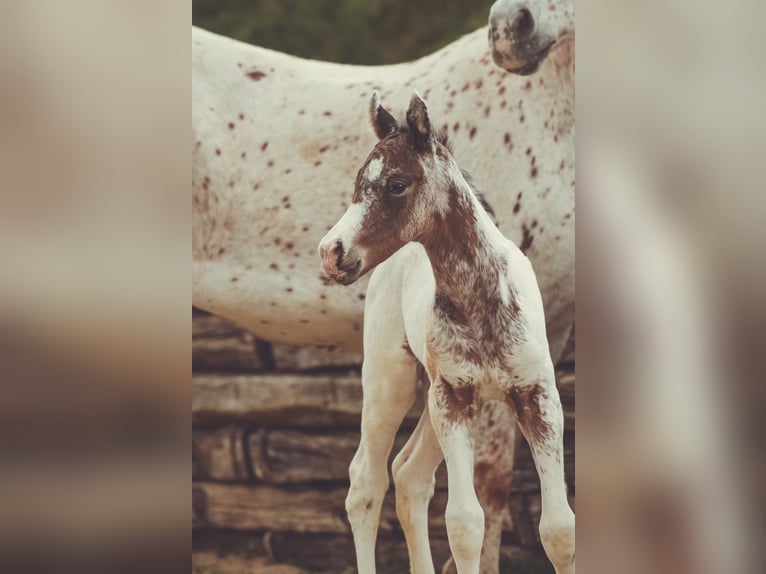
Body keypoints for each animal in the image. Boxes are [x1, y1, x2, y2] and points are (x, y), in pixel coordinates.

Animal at [318, 91, 575, 574]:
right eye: (359, 182)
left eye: (397, 184)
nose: (330, 252)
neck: (483, 302)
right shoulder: (454, 397)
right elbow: (464, 524)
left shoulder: (537, 395)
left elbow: (559, 527)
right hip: (390, 380)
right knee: (366, 483)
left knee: (408, 475)